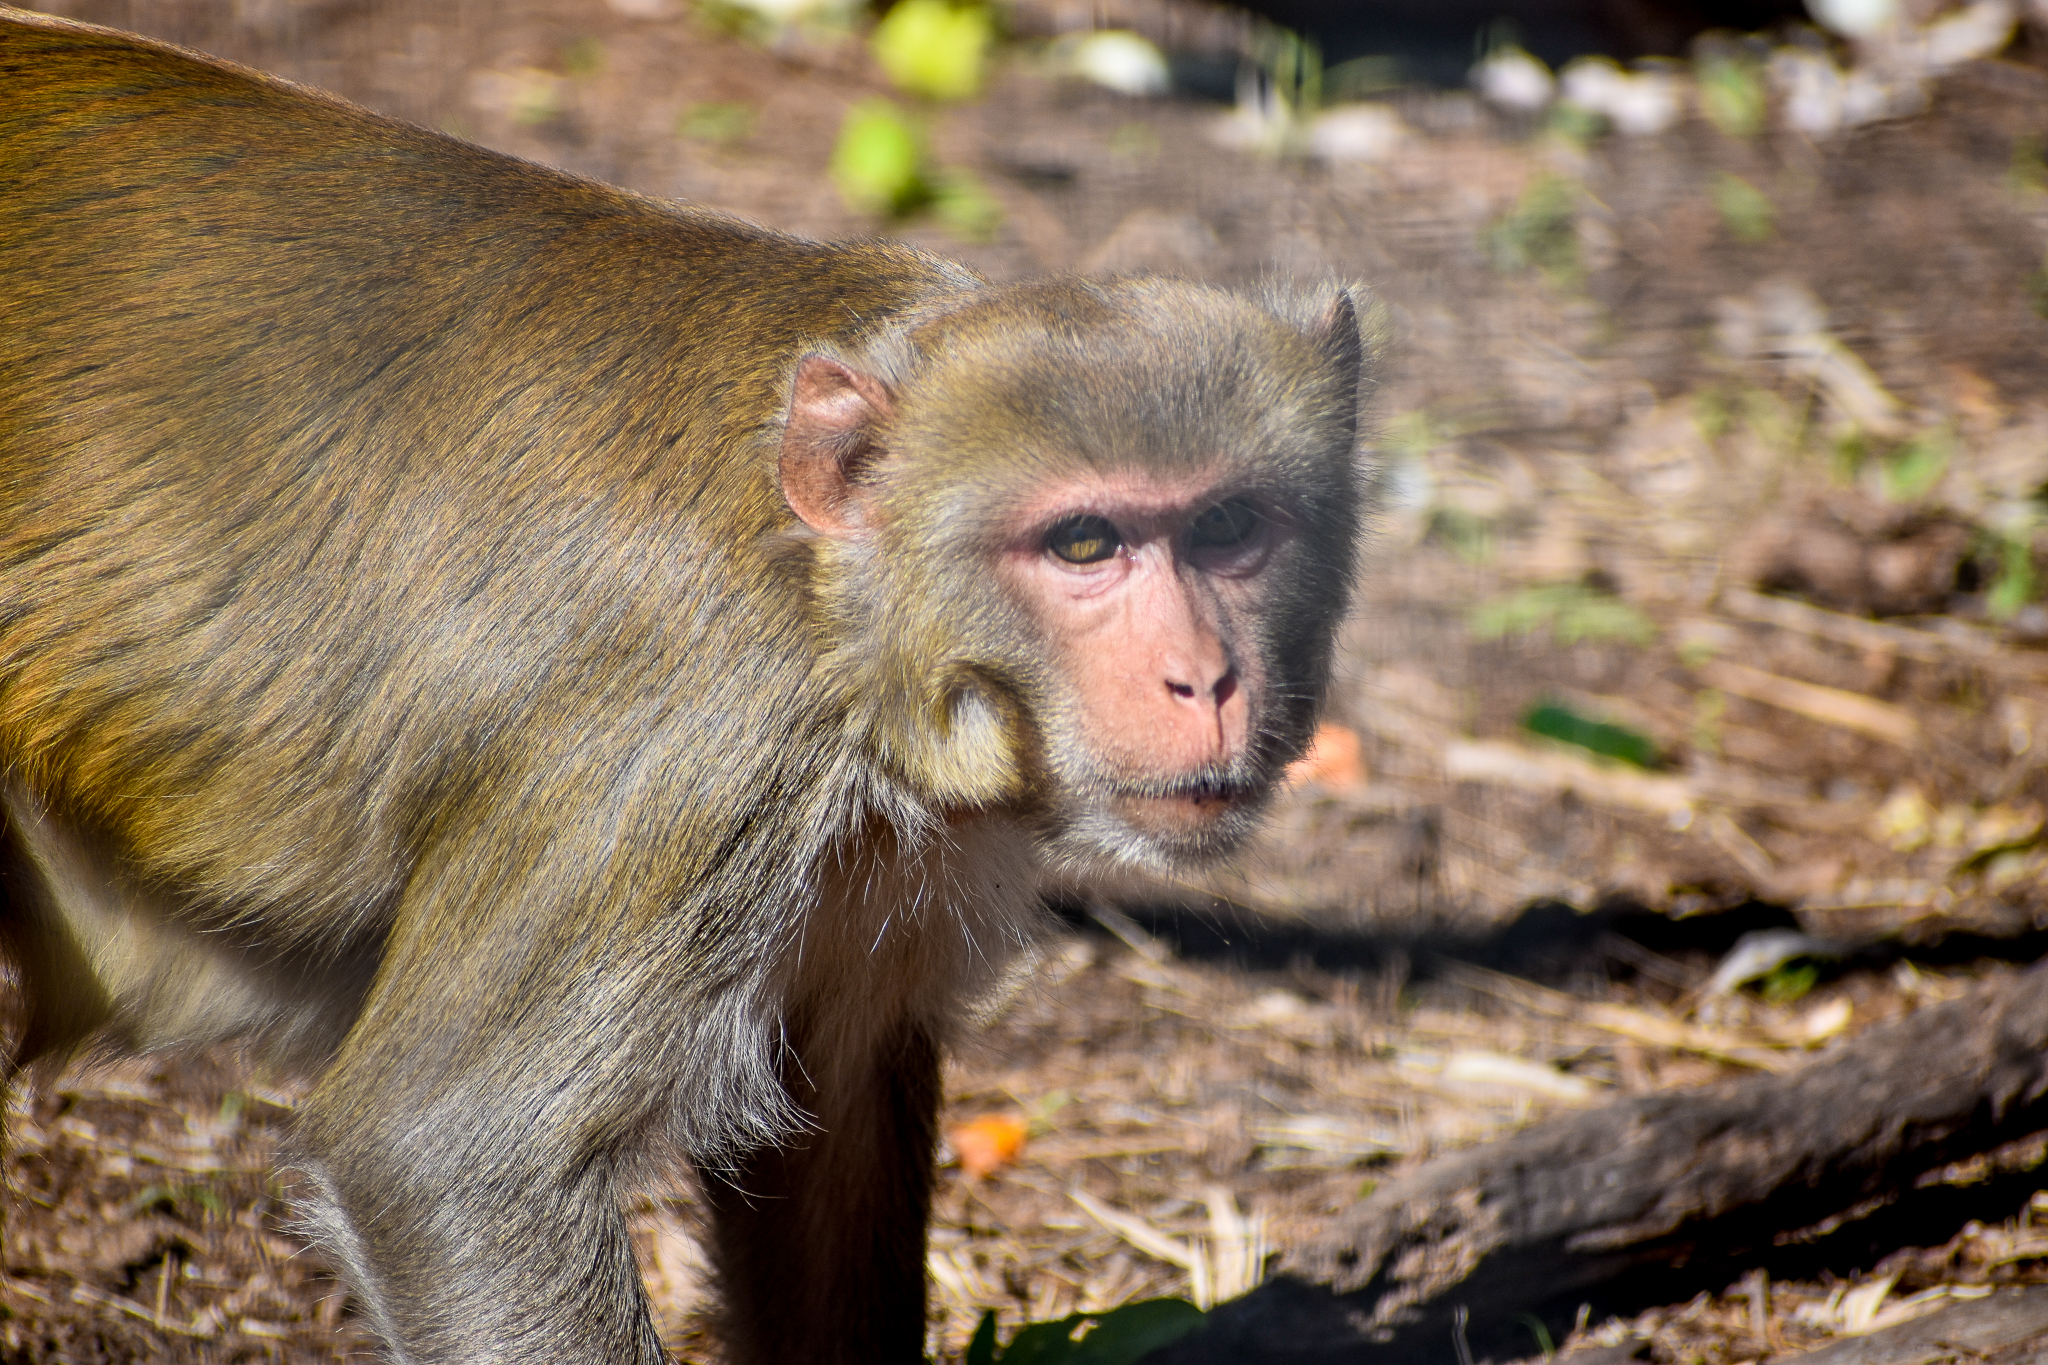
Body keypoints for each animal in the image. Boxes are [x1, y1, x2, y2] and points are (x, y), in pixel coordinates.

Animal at [0, 9, 1372, 1362]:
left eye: (1229, 529)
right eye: (1084, 545)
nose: (1203, 678)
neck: (838, 609)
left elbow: (824, 1124)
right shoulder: (683, 752)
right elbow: (448, 1162)